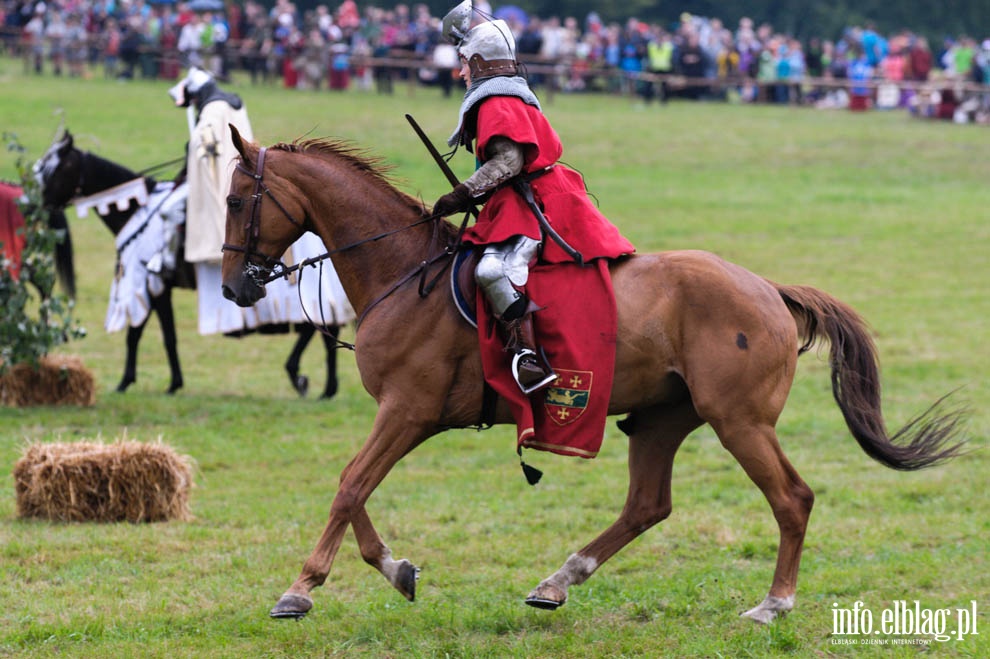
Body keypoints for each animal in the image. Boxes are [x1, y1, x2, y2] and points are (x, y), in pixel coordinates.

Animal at [34, 130, 344, 398]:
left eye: (54, 170)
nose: (34, 205)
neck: (136, 210)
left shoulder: (154, 285)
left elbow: (145, 335)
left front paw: (134, 382)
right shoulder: (157, 287)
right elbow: (154, 334)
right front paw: (165, 382)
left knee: (321, 327)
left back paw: (307, 379)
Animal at [221, 126, 964, 628]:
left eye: (232, 200)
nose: (233, 287)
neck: (404, 271)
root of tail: (769, 290)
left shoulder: (408, 411)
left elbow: (350, 486)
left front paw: (301, 588)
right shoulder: (402, 416)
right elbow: (355, 488)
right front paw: (395, 568)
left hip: (739, 421)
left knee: (792, 498)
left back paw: (773, 603)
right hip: (663, 418)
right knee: (647, 505)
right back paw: (558, 580)